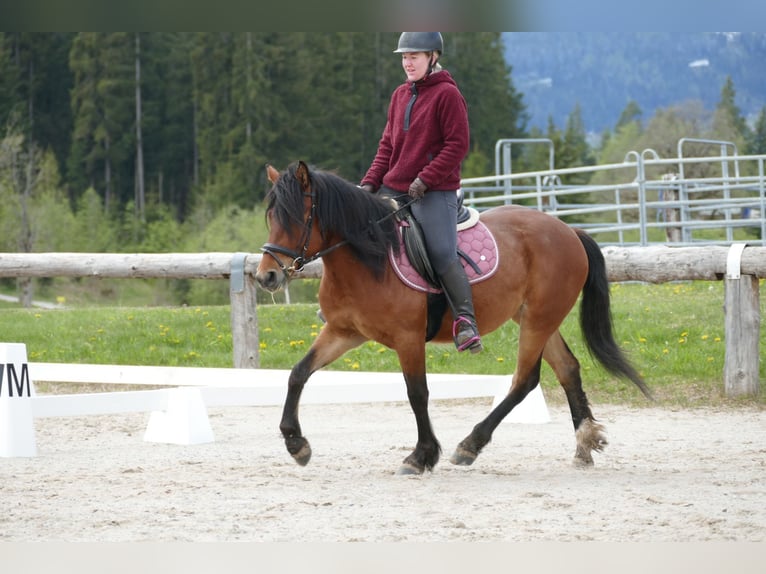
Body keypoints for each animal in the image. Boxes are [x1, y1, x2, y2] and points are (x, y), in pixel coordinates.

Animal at [255, 162, 652, 476]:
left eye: (296, 219)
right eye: (271, 217)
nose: (267, 277)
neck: (369, 258)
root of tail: (568, 230)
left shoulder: (408, 338)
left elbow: (417, 393)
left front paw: (421, 456)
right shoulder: (343, 332)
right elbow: (298, 373)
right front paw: (296, 443)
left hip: (539, 319)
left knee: (525, 379)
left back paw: (470, 445)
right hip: (536, 317)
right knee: (567, 368)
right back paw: (584, 443)